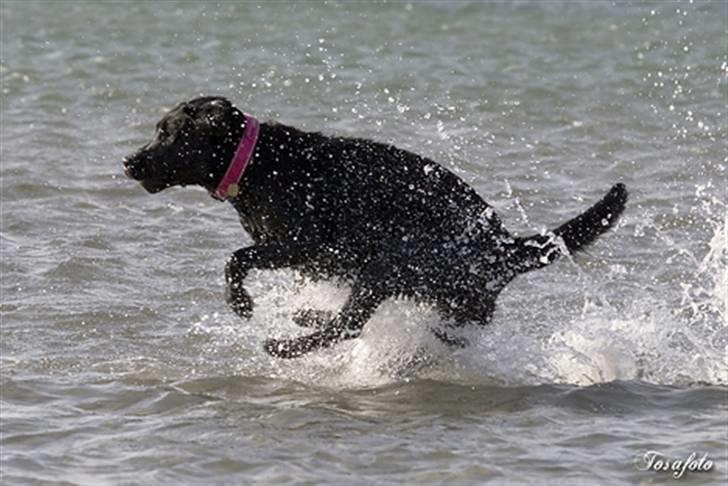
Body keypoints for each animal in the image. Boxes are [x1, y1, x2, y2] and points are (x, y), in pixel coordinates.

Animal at [123, 97, 624, 358]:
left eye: (169, 133)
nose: (129, 161)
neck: (261, 164)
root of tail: (506, 247)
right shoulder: (308, 259)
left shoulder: (302, 245)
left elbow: (235, 259)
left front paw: (241, 302)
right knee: (355, 320)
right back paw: (307, 317)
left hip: (393, 260)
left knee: (349, 325)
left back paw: (288, 344)